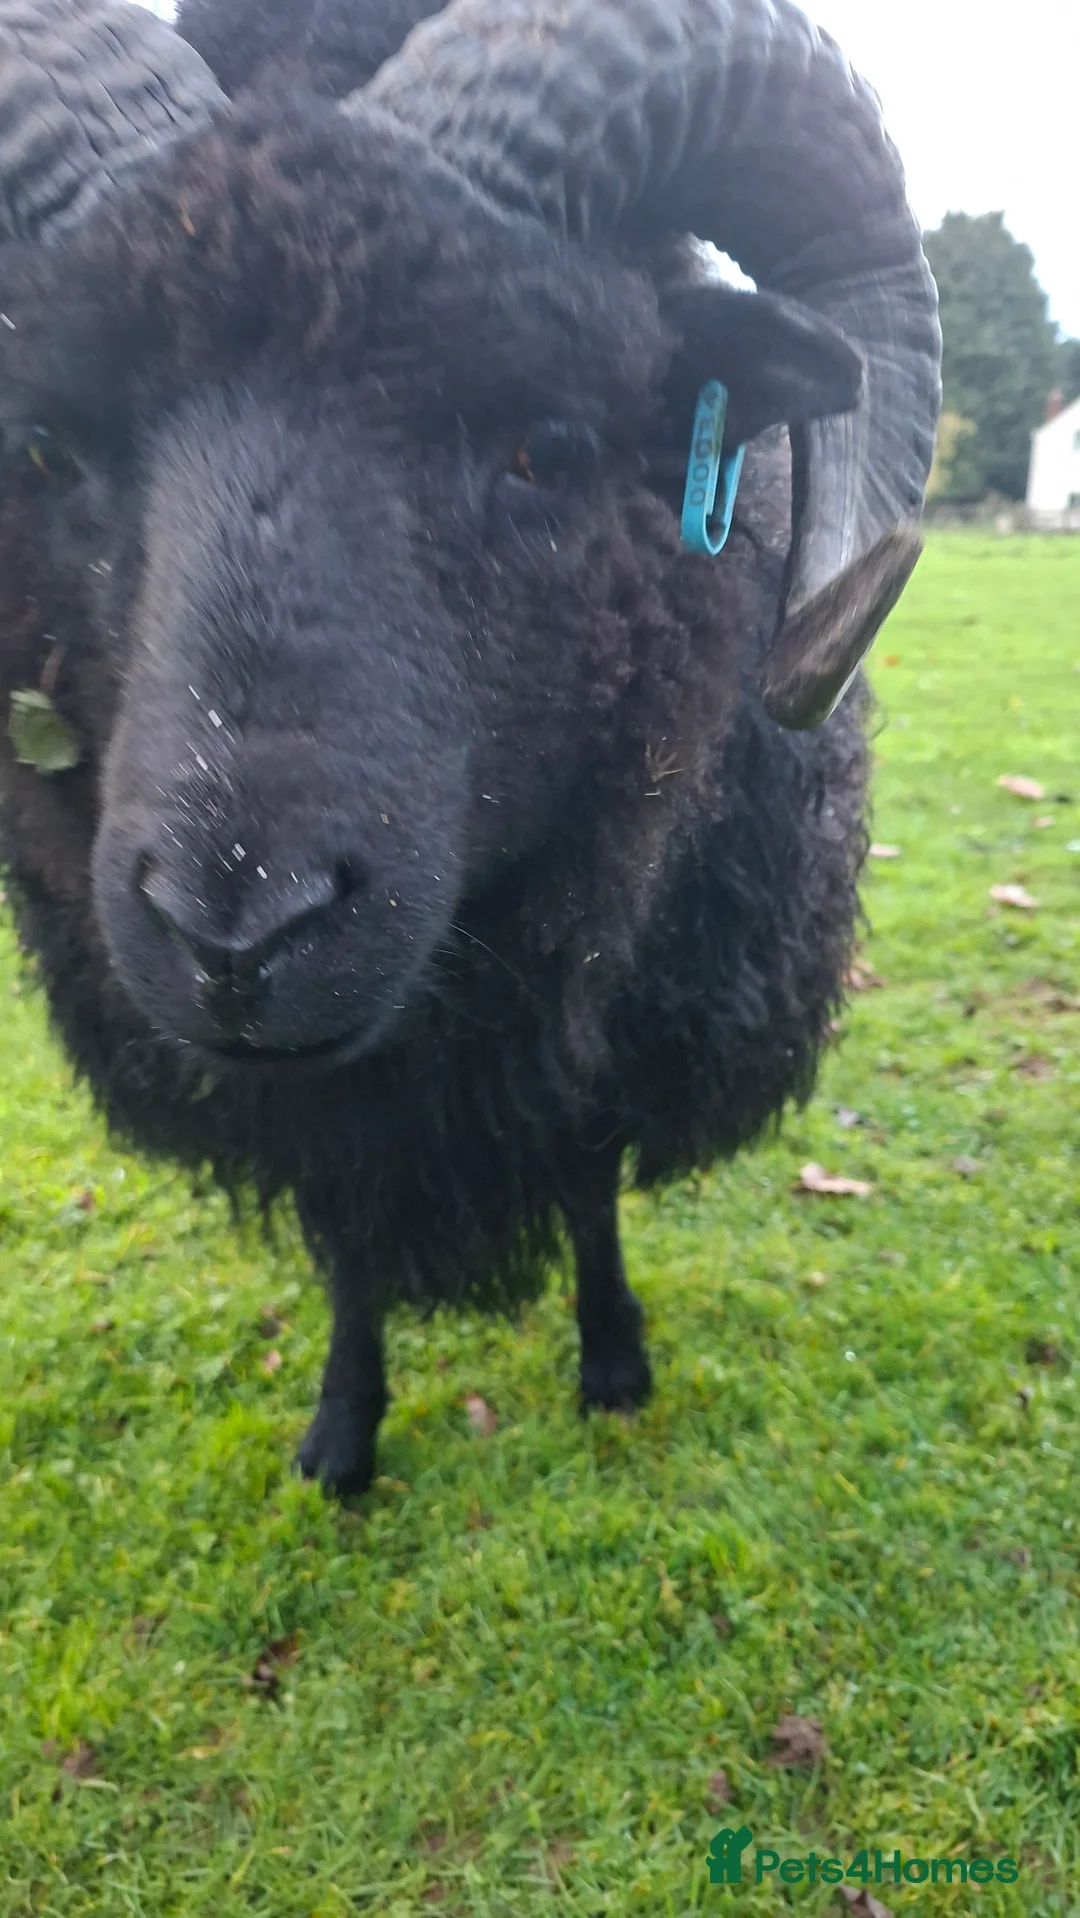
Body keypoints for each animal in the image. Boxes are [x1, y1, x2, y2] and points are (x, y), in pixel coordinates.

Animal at [0, 0, 940, 1494]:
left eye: (545, 446)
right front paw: (342, 1431)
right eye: (39, 448)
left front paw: (613, 1361)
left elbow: (588, 1166)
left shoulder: (615, 983)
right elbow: (346, 1230)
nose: (237, 936)